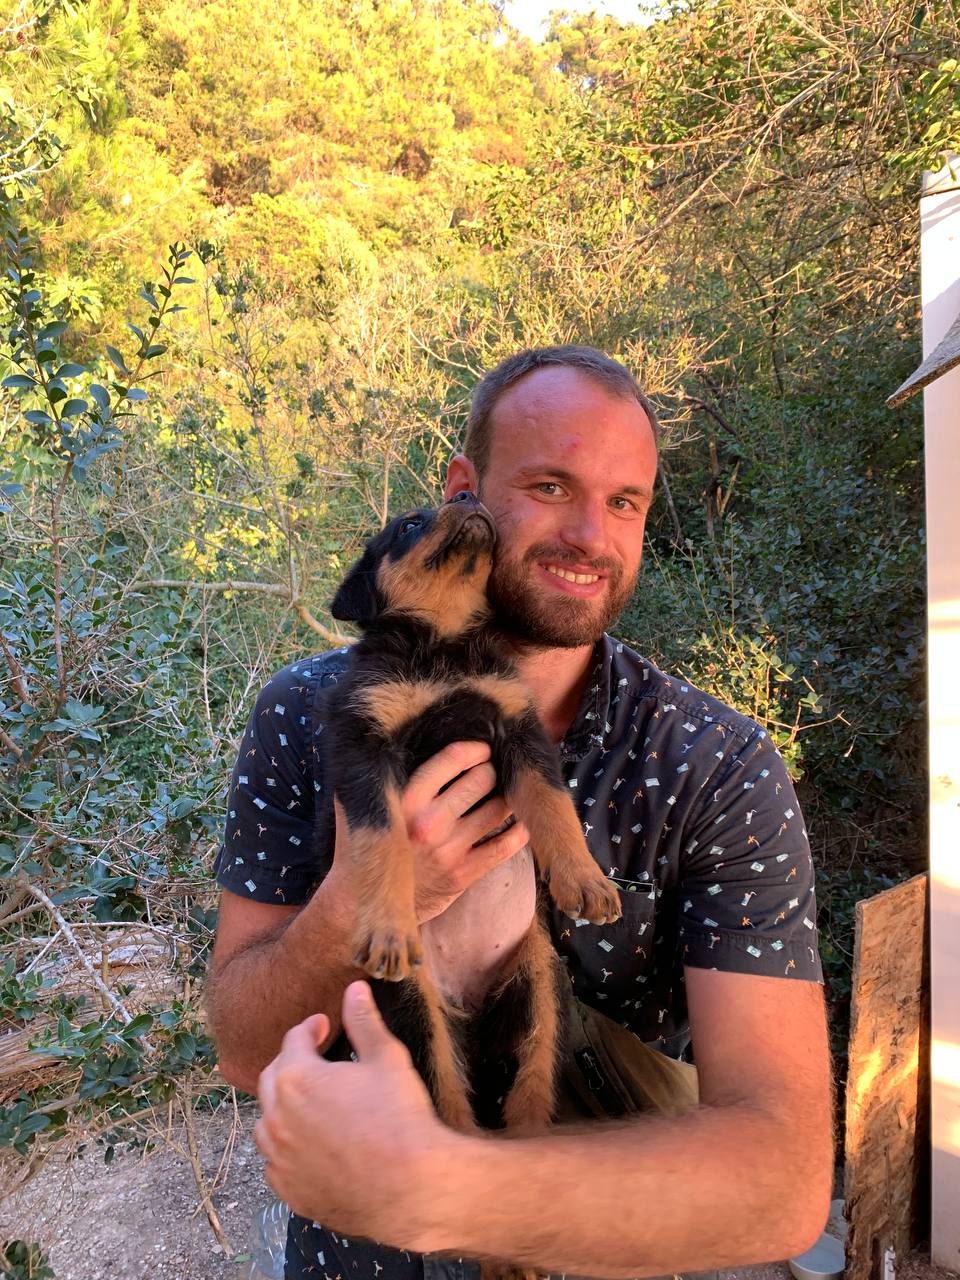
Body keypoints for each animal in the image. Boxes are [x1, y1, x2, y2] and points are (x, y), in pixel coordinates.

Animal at [321, 490, 622, 1153]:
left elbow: (553, 807)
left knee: (529, 1093)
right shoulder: (363, 747)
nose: (466, 496)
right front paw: (386, 927)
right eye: (409, 525)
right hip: (418, 1014)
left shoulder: (519, 729)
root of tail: (473, 1011)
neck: (445, 645)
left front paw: (585, 880)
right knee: (448, 1102)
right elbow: (381, 839)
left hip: (542, 992)